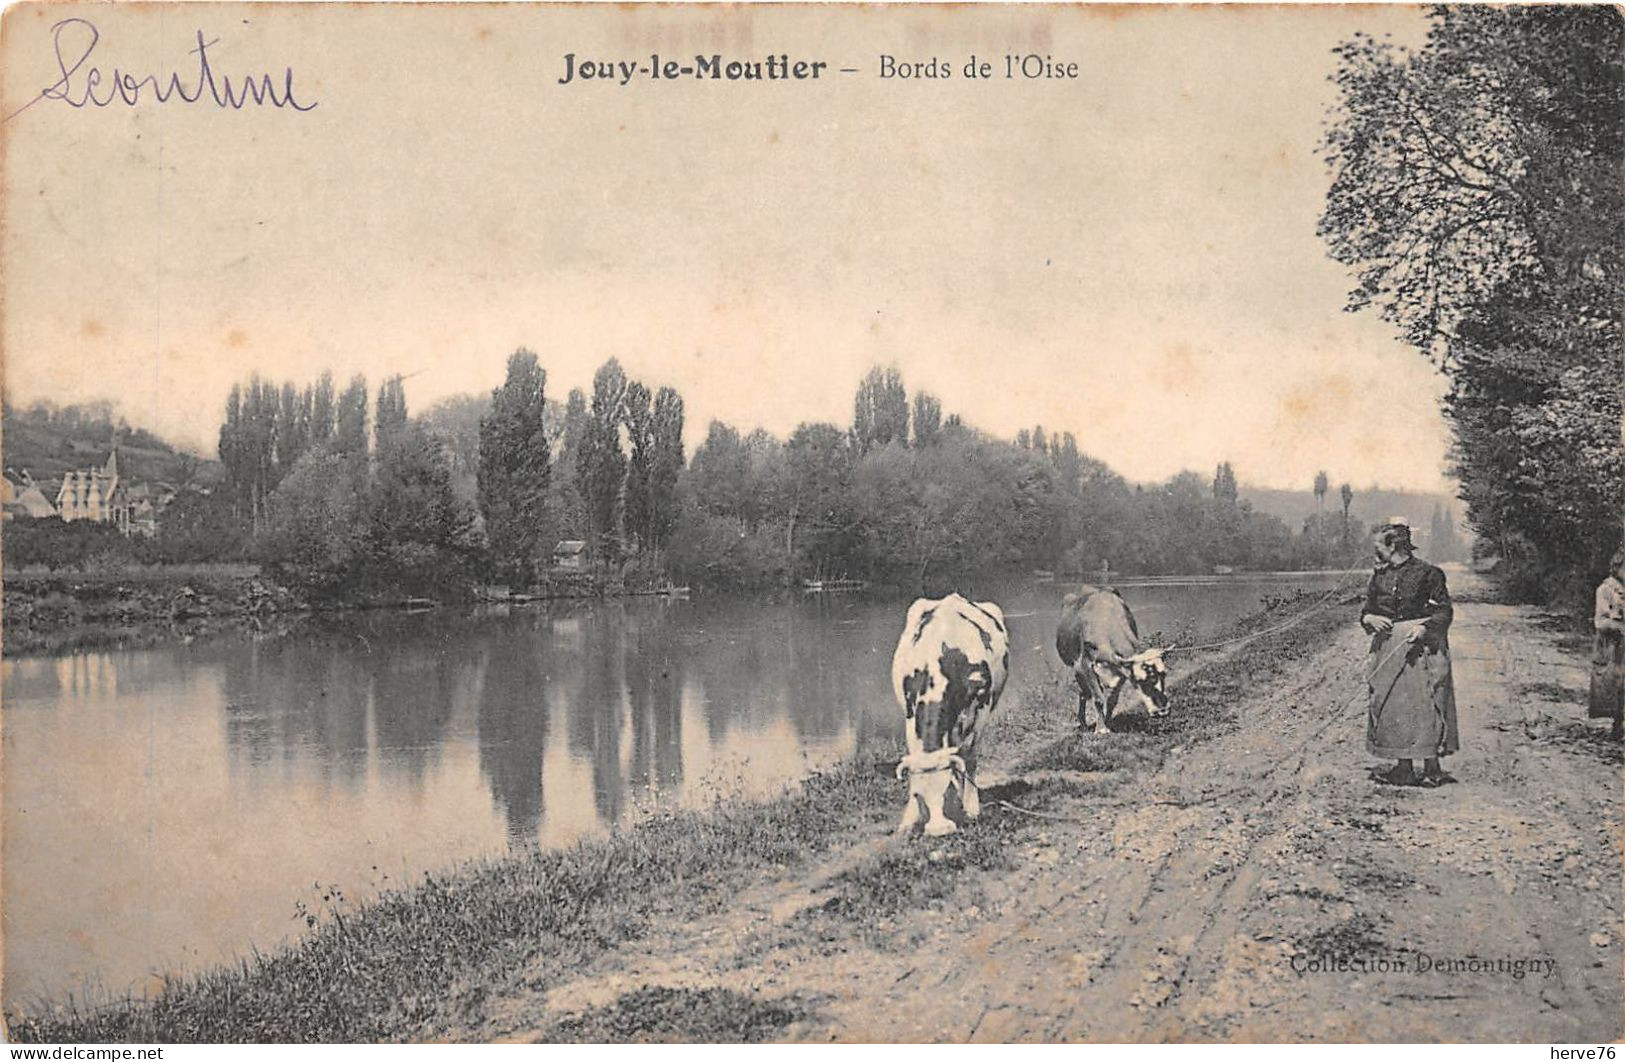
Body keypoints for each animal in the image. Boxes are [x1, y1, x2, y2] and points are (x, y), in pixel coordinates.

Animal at [897, 594, 1007, 837]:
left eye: (945, 789)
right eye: (918, 794)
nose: (940, 829)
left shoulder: (979, 711)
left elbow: (969, 758)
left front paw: (969, 807)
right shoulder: (910, 712)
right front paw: (909, 819)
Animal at [1053, 591, 1170, 733]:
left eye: (1164, 674)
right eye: (1140, 680)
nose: (1163, 710)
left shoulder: (1121, 669)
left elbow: (1112, 700)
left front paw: (1108, 722)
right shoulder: (1086, 665)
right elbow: (1098, 699)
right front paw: (1101, 729)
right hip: (1076, 669)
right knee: (1084, 693)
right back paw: (1083, 723)